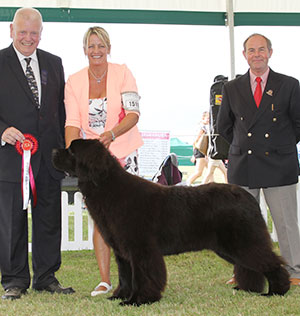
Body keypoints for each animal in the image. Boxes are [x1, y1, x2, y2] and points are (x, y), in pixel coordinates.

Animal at [52, 139, 290, 304]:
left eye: (71, 150)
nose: (54, 151)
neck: (106, 186)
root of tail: (247, 196)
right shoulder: (123, 251)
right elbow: (125, 276)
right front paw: (120, 296)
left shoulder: (141, 248)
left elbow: (143, 275)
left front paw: (138, 300)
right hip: (230, 246)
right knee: (249, 266)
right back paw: (247, 289)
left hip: (242, 241)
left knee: (270, 262)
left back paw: (278, 291)